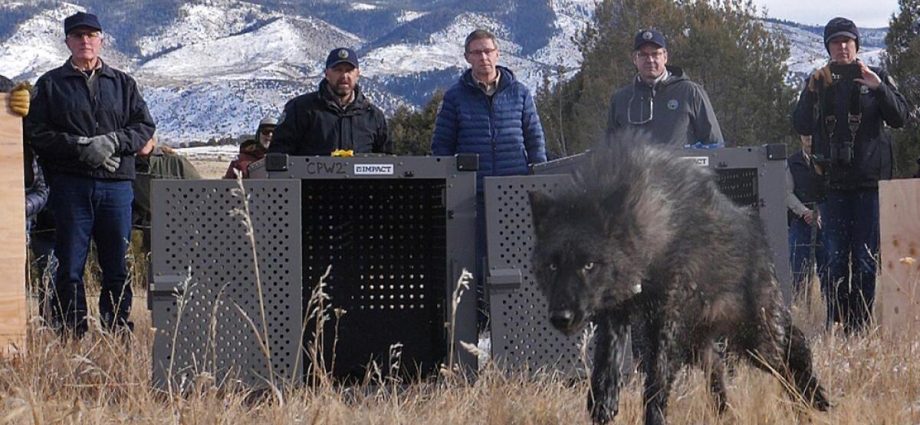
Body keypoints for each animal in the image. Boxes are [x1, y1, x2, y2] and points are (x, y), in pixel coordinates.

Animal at [528, 140, 829, 425]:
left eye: (588, 265)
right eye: (552, 266)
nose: (561, 317)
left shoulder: (666, 324)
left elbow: (656, 382)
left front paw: (653, 417)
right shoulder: (615, 313)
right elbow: (606, 362)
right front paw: (603, 403)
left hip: (757, 339)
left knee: (794, 351)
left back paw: (813, 402)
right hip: (704, 343)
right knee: (719, 371)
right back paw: (729, 414)